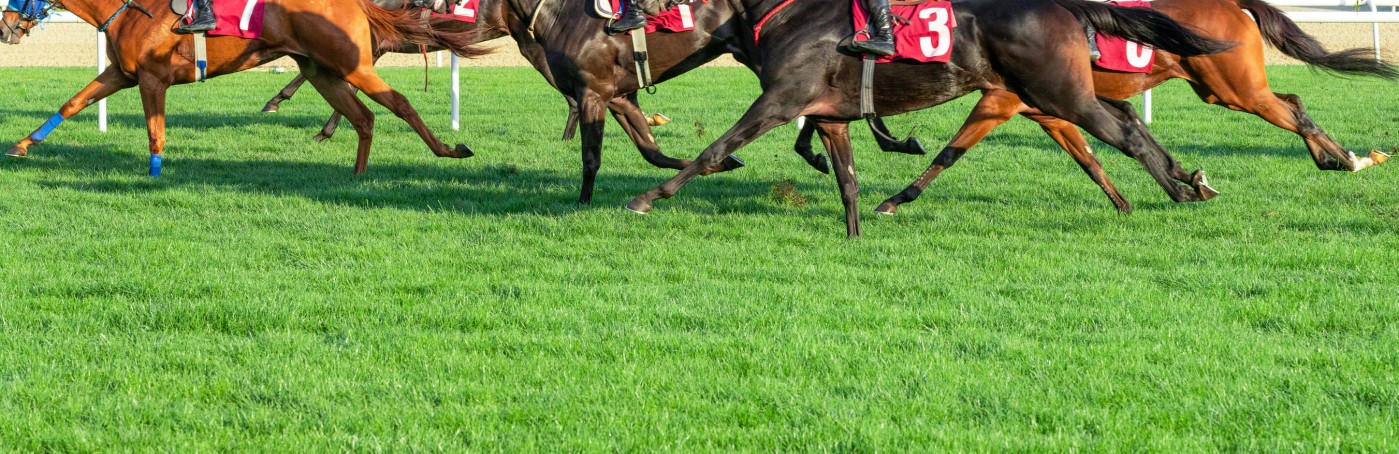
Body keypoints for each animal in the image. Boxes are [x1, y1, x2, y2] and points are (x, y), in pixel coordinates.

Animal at [1, 0, 485, 175]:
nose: (6, 27)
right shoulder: (122, 74)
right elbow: (73, 103)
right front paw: (22, 145)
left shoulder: (153, 79)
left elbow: (155, 131)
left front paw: (155, 174)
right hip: (321, 71)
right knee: (363, 116)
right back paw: (356, 175)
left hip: (350, 65)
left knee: (397, 103)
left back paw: (449, 149)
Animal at [622, 0, 1236, 236]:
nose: (628, 15)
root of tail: (1064, 7)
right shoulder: (829, 114)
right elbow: (846, 178)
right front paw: (855, 233)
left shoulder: (780, 101)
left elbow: (715, 150)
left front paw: (647, 198)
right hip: (1052, 92)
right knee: (1127, 121)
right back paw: (1187, 182)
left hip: (1060, 94)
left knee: (1126, 133)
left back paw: (1182, 191)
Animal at [794, 0, 1398, 215]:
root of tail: (1232, 4)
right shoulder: (1047, 108)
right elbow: (1098, 153)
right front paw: (1178, 181)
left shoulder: (1002, 100)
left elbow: (947, 154)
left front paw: (895, 198)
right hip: (1215, 87)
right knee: (1291, 101)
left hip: (1234, 88)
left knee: (1291, 107)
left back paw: (1347, 158)